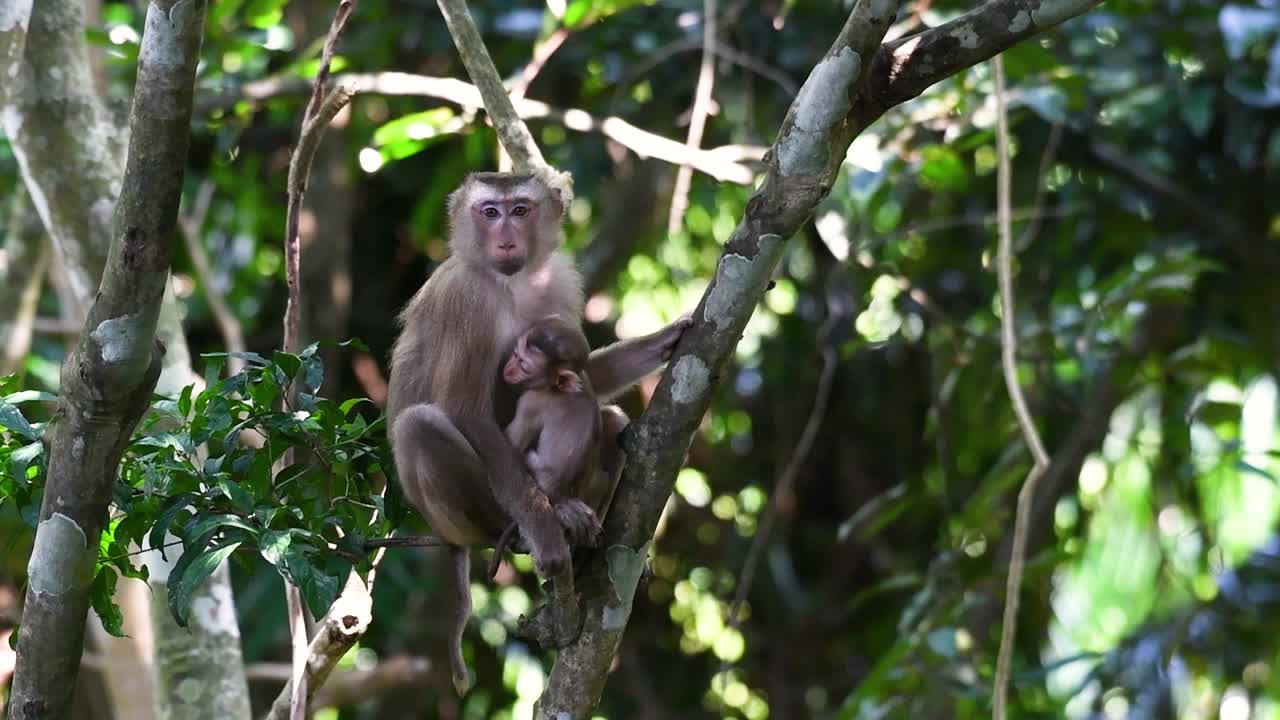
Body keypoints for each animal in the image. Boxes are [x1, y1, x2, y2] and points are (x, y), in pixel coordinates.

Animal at [387, 172, 692, 695]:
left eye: (521, 210)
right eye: (490, 212)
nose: (506, 238)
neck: (510, 282)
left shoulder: (558, 282)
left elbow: (585, 375)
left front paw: (666, 340)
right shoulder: (466, 298)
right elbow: (463, 410)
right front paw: (546, 534)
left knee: (611, 421)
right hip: (463, 512)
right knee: (418, 426)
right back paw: (526, 526)